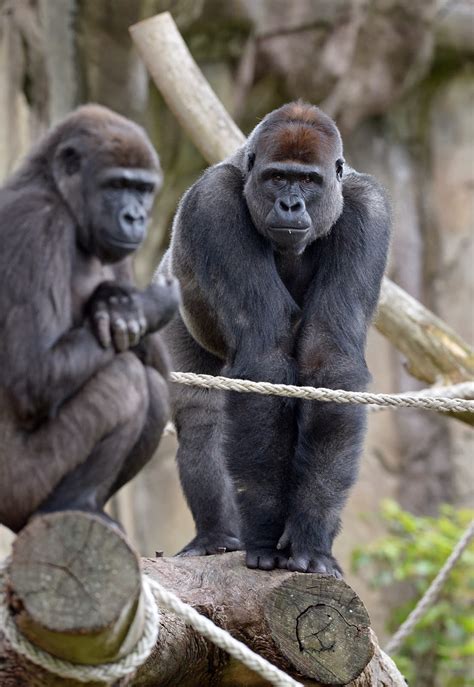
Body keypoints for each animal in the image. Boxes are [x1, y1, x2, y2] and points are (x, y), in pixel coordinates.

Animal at [0, 105, 181, 532]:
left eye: (142, 189)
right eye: (116, 185)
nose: (135, 217)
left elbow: (159, 366)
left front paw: (116, 302)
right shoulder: (37, 224)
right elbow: (33, 374)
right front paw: (149, 304)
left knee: (149, 381)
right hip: (15, 489)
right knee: (126, 380)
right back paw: (69, 504)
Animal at [159, 101, 388, 576]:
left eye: (308, 181)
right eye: (278, 177)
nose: (289, 203)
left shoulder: (368, 210)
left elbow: (329, 361)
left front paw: (311, 534)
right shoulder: (213, 205)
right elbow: (264, 359)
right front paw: (265, 530)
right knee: (202, 419)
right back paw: (215, 536)